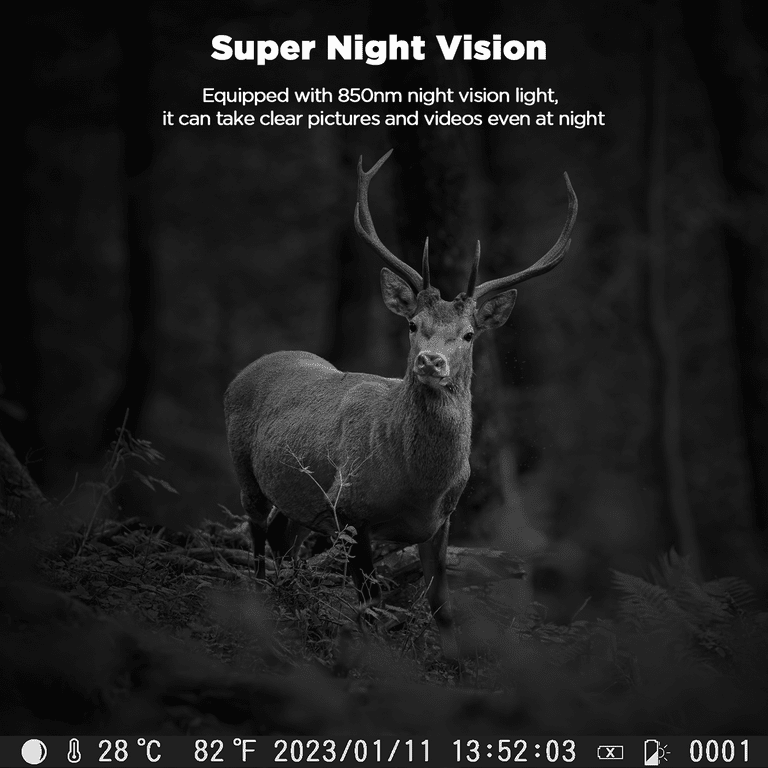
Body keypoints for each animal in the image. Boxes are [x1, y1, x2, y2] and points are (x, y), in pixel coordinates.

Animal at [224, 150, 577, 659]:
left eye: (469, 335)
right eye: (413, 325)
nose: (431, 361)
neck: (416, 484)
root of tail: (252, 366)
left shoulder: (441, 522)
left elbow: (441, 603)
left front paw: (454, 662)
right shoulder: (351, 507)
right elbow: (368, 601)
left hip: (301, 497)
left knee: (280, 534)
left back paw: (292, 601)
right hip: (242, 462)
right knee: (255, 532)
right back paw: (262, 607)